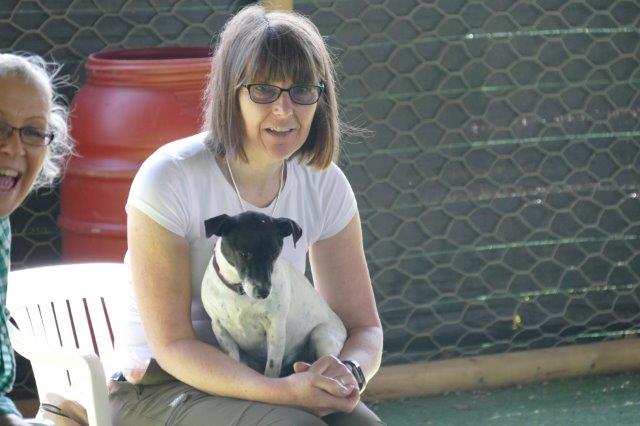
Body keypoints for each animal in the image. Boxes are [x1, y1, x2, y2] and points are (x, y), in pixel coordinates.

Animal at [201, 211, 347, 378]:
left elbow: (271, 367)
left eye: (275, 254)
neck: (240, 293)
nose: (264, 292)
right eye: (244, 253)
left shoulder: (275, 328)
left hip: (321, 335)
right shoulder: (220, 328)